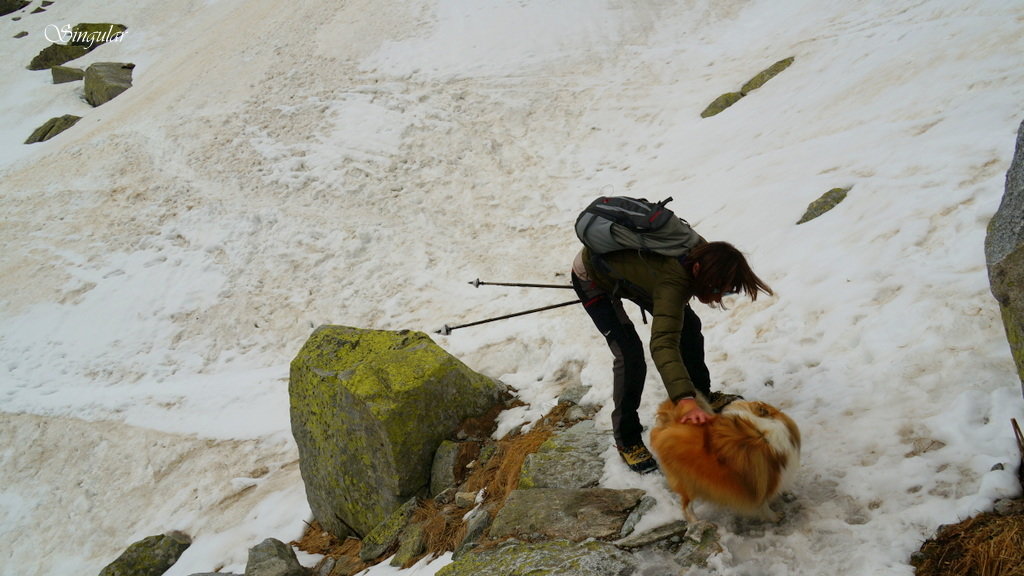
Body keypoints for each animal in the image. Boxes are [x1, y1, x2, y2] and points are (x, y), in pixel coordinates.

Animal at [647, 397, 798, 522]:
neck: (761, 431)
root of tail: (667, 426)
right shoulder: (761, 480)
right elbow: (763, 504)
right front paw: (775, 516)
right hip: (688, 481)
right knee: (686, 506)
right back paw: (697, 523)